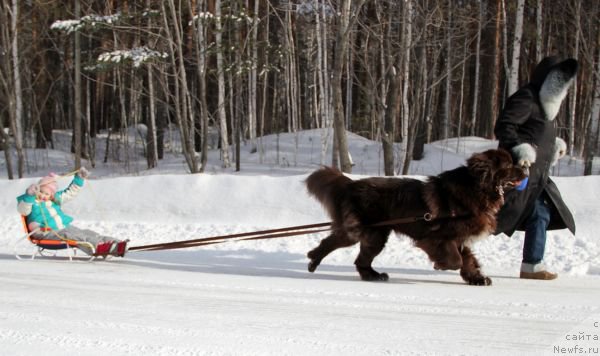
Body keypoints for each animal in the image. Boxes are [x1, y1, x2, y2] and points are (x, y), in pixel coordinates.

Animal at [304, 149, 524, 286]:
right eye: (508, 166)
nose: (525, 168)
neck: (477, 188)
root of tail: (350, 184)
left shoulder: (459, 238)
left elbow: (468, 260)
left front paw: (478, 279)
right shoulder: (436, 238)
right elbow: (456, 259)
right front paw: (440, 265)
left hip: (371, 231)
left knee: (347, 250)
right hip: (371, 232)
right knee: (351, 251)